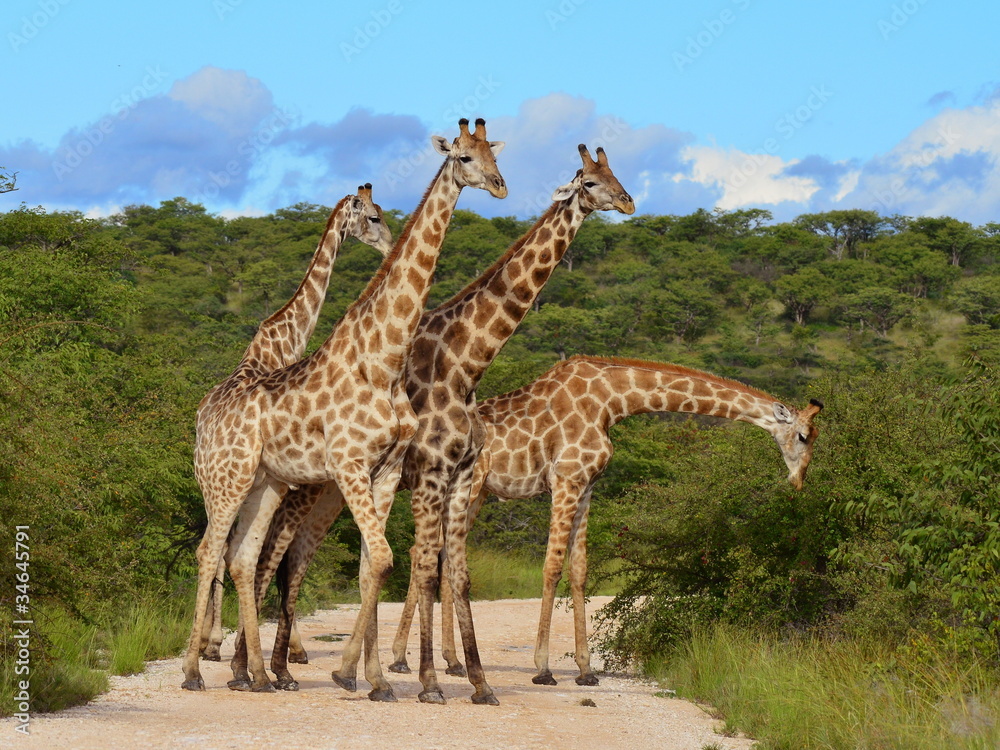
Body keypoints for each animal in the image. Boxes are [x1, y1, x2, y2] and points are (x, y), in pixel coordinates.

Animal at [197, 183, 392, 663]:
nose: (389, 246)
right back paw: (213, 644)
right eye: (374, 217)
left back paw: (212, 643)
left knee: (219, 545)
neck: (285, 340)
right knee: (219, 547)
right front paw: (283, 650)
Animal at [232, 144, 634, 702]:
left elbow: (436, 569)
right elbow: (425, 566)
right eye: (592, 182)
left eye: (615, 172)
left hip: (332, 491)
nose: (629, 201)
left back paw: (271, 667)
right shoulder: (428, 474)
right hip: (304, 486)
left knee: (293, 555)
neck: (462, 356)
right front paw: (425, 674)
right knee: (272, 555)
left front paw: (447, 675)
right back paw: (256, 668)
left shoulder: (442, 478)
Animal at [423, 355, 823, 687]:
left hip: (476, 492)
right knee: (435, 553)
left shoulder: (586, 487)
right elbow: (552, 566)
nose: (799, 482)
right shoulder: (566, 479)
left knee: (439, 554)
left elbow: (579, 570)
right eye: (803, 436)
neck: (611, 402)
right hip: (471, 487)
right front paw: (544, 668)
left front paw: (586, 671)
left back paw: (450, 662)